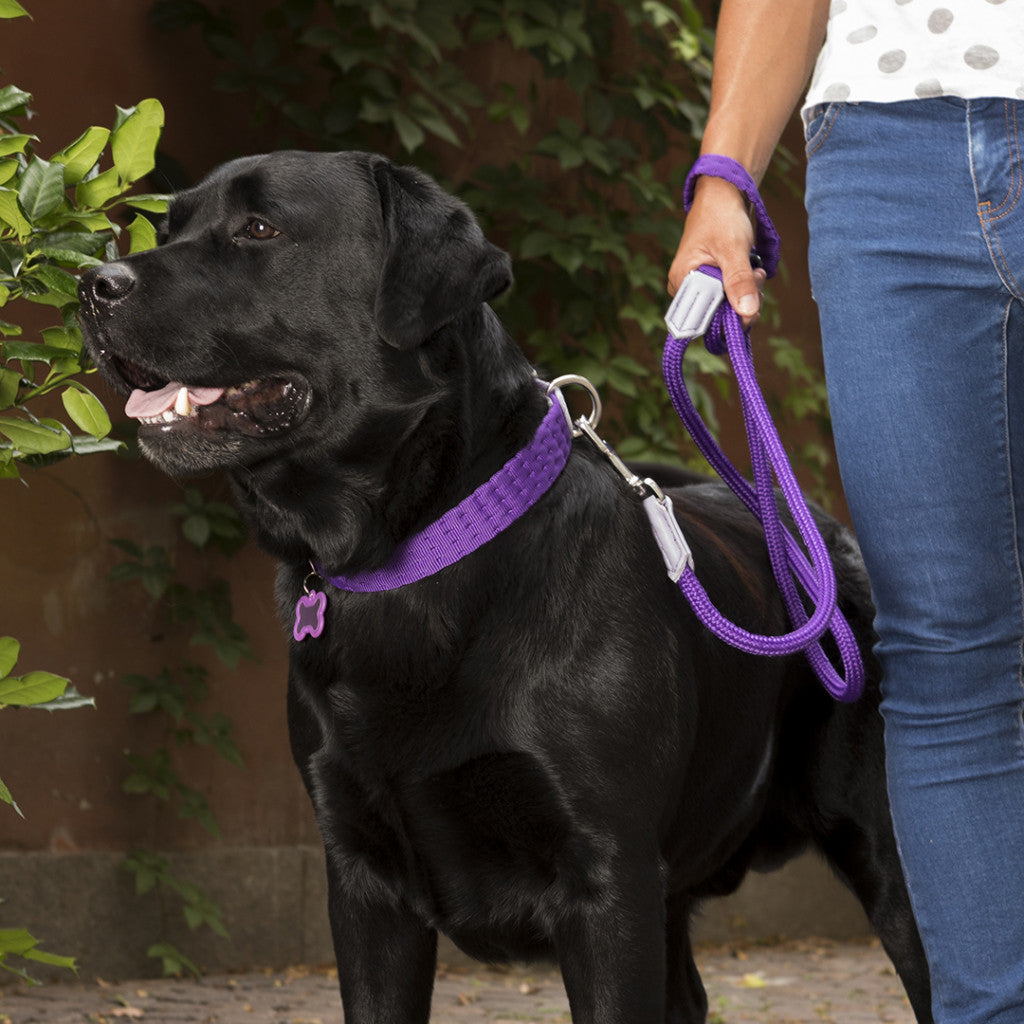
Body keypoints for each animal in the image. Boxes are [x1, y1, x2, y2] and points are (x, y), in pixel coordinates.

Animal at [75, 151, 933, 1024]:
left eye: (259, 228)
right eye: (168, 226)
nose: (91, 283)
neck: (417, 556)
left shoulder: (609, 883)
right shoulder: (361, 880)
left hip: (897, 864)